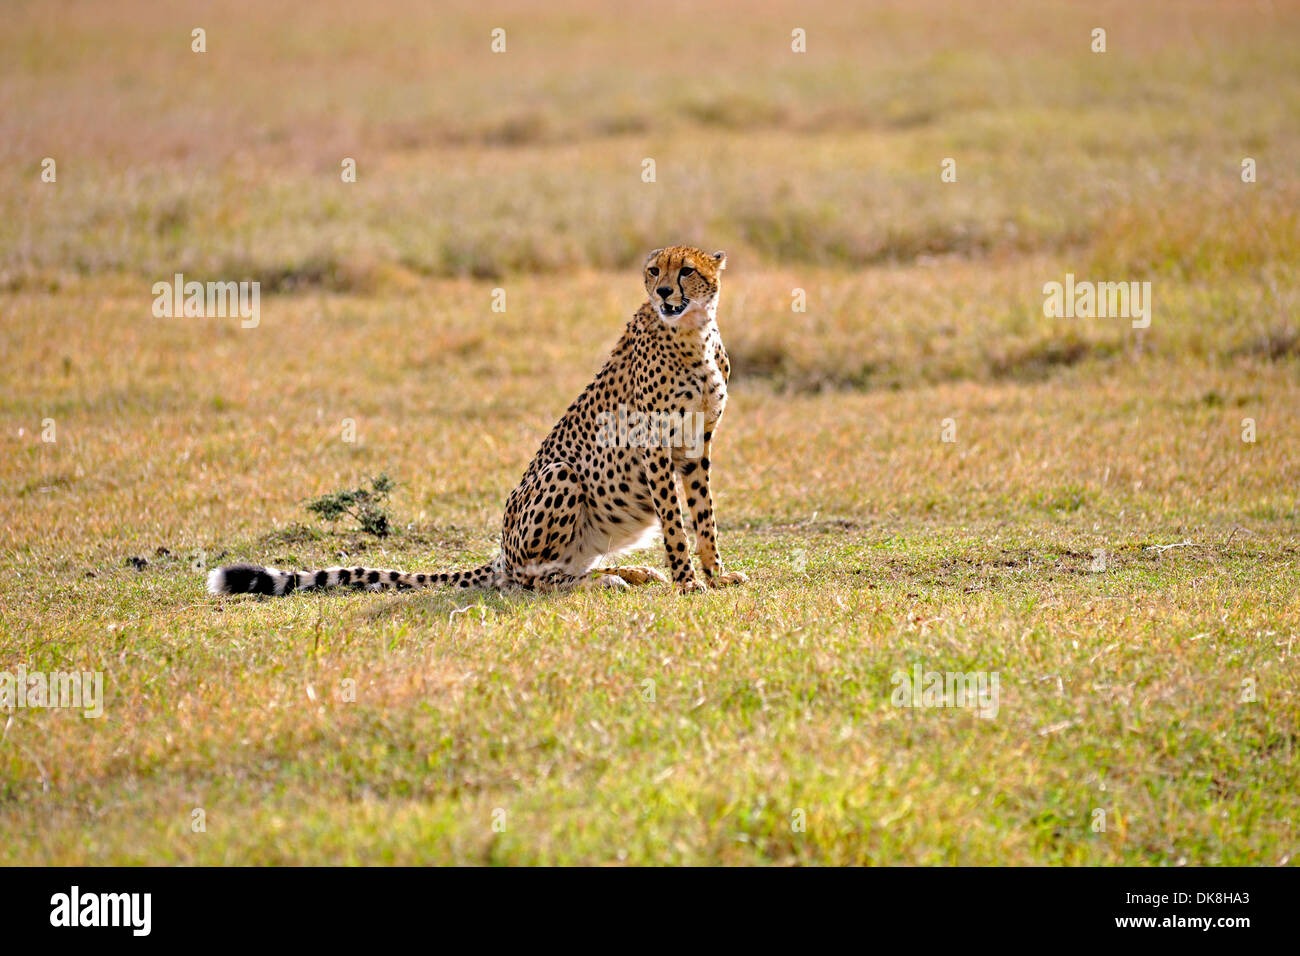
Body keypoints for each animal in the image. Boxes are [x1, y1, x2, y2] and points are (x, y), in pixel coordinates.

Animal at [208, 251, 748, 600]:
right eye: (655, 270)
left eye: (688, 270)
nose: (663, 291)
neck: (691, 335)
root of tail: (502, 553)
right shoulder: (654, 446)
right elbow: (676, 522)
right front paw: (687, 580)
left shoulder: (697, 447)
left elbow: (703, 516)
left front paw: (715, 574)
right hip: (559, 475)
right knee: (529, 580)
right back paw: (609, 580)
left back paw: (631, 571)